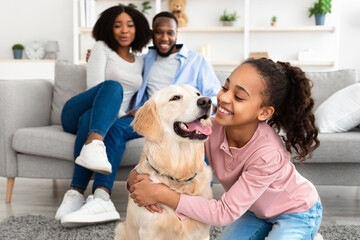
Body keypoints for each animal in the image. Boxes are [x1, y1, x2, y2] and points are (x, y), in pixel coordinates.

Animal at [114, 85, 214, 240]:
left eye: (198, 93)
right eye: (175, 98)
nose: (206, 101)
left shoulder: (202, 233)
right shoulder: (149, 232)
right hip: (120, 229)